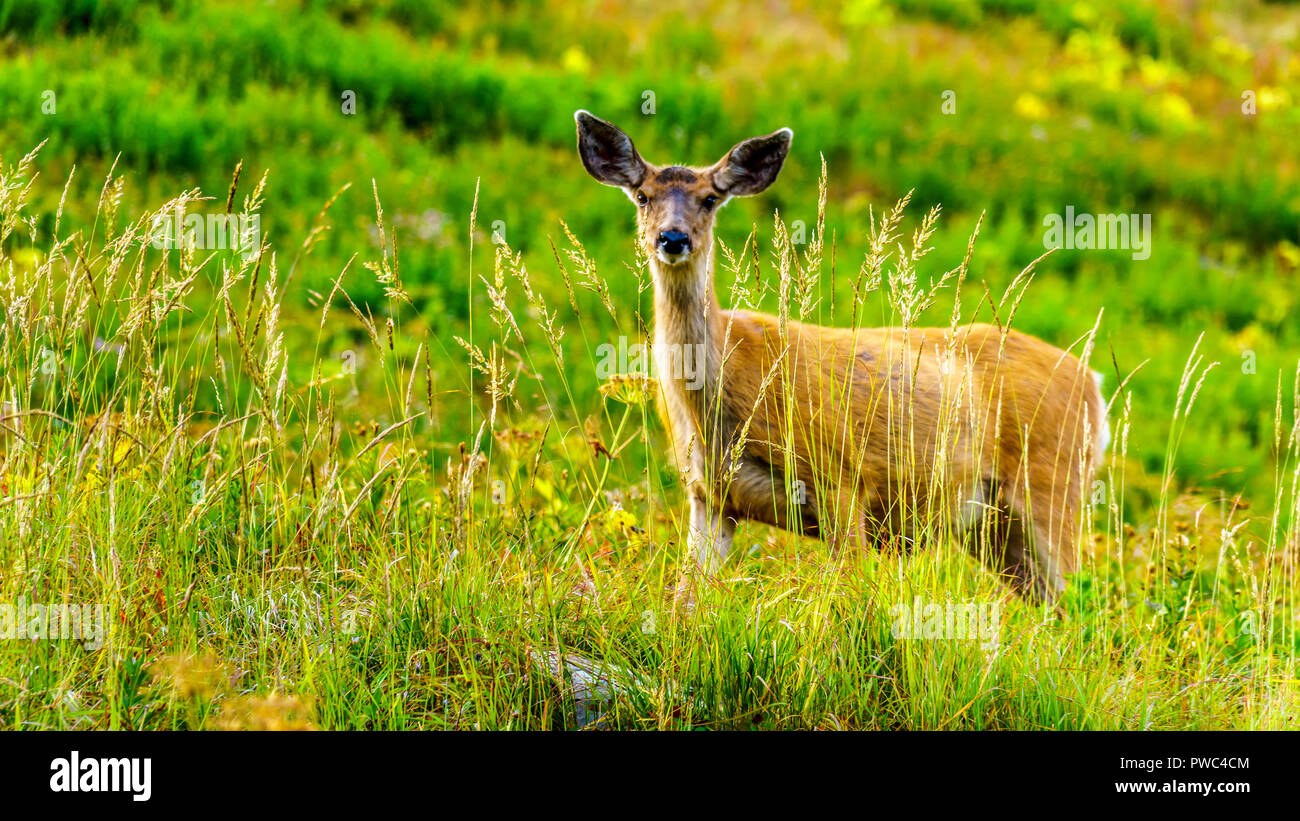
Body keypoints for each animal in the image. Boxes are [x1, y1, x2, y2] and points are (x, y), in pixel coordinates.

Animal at [574, 110, 1109, 602]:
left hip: (1053, 482)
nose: (673, 238)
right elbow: (687, 599)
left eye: (710, 199)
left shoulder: (842, 477)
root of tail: (1093, 384)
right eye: (643, 196)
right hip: (994, 526)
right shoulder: (708, 496)